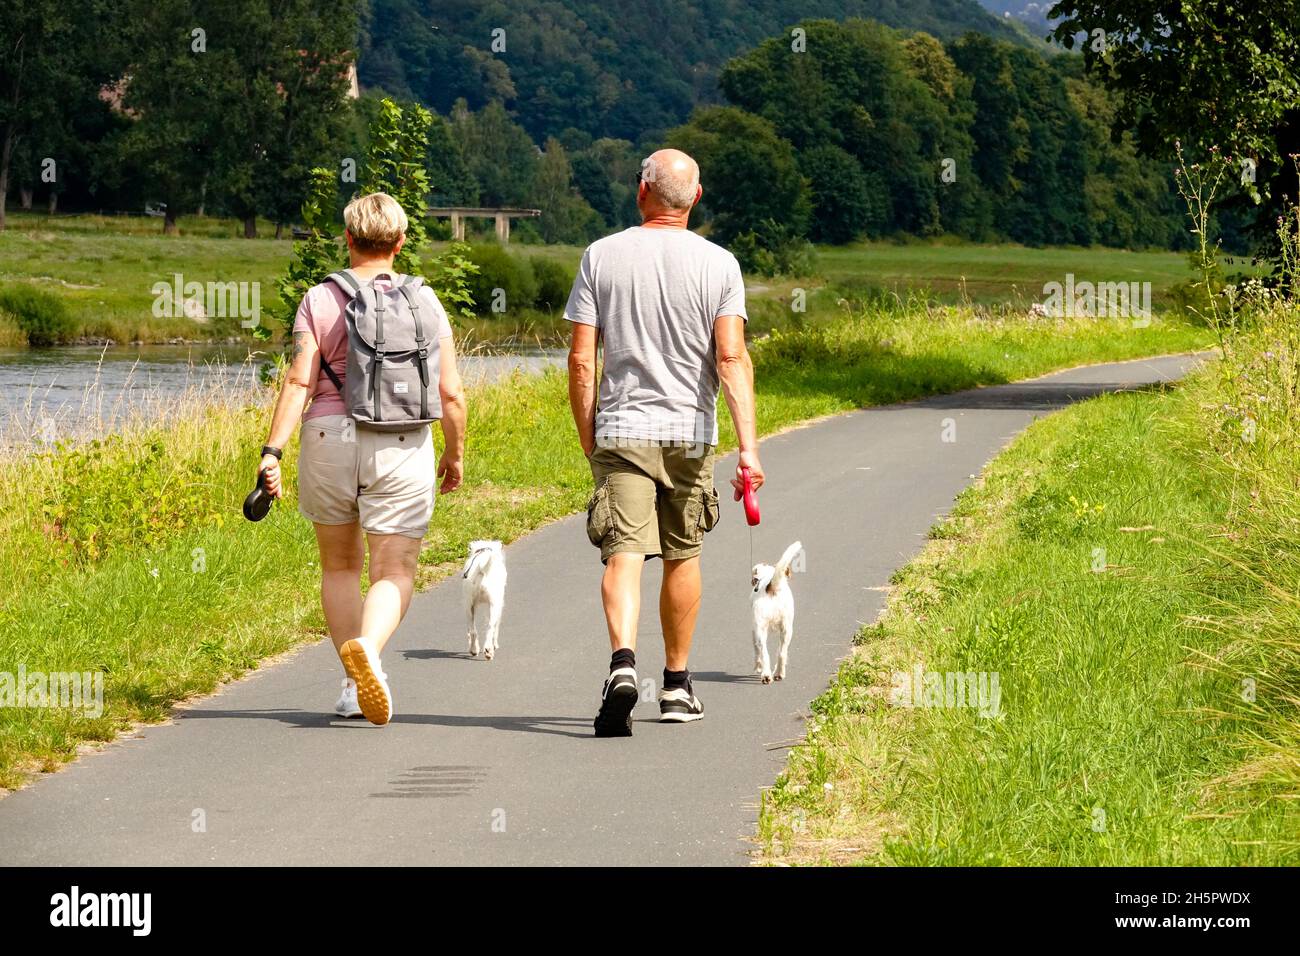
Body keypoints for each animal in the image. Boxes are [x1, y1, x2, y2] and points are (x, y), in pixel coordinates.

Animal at [754, 541, 800, 686]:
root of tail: (772, 587)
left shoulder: (753, 631)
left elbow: (756, 653)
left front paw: (757, 666)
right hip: (787, 630)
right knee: (781, 653)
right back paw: (778, 673)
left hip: (760, 631)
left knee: (764, 654)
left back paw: (766, 675)